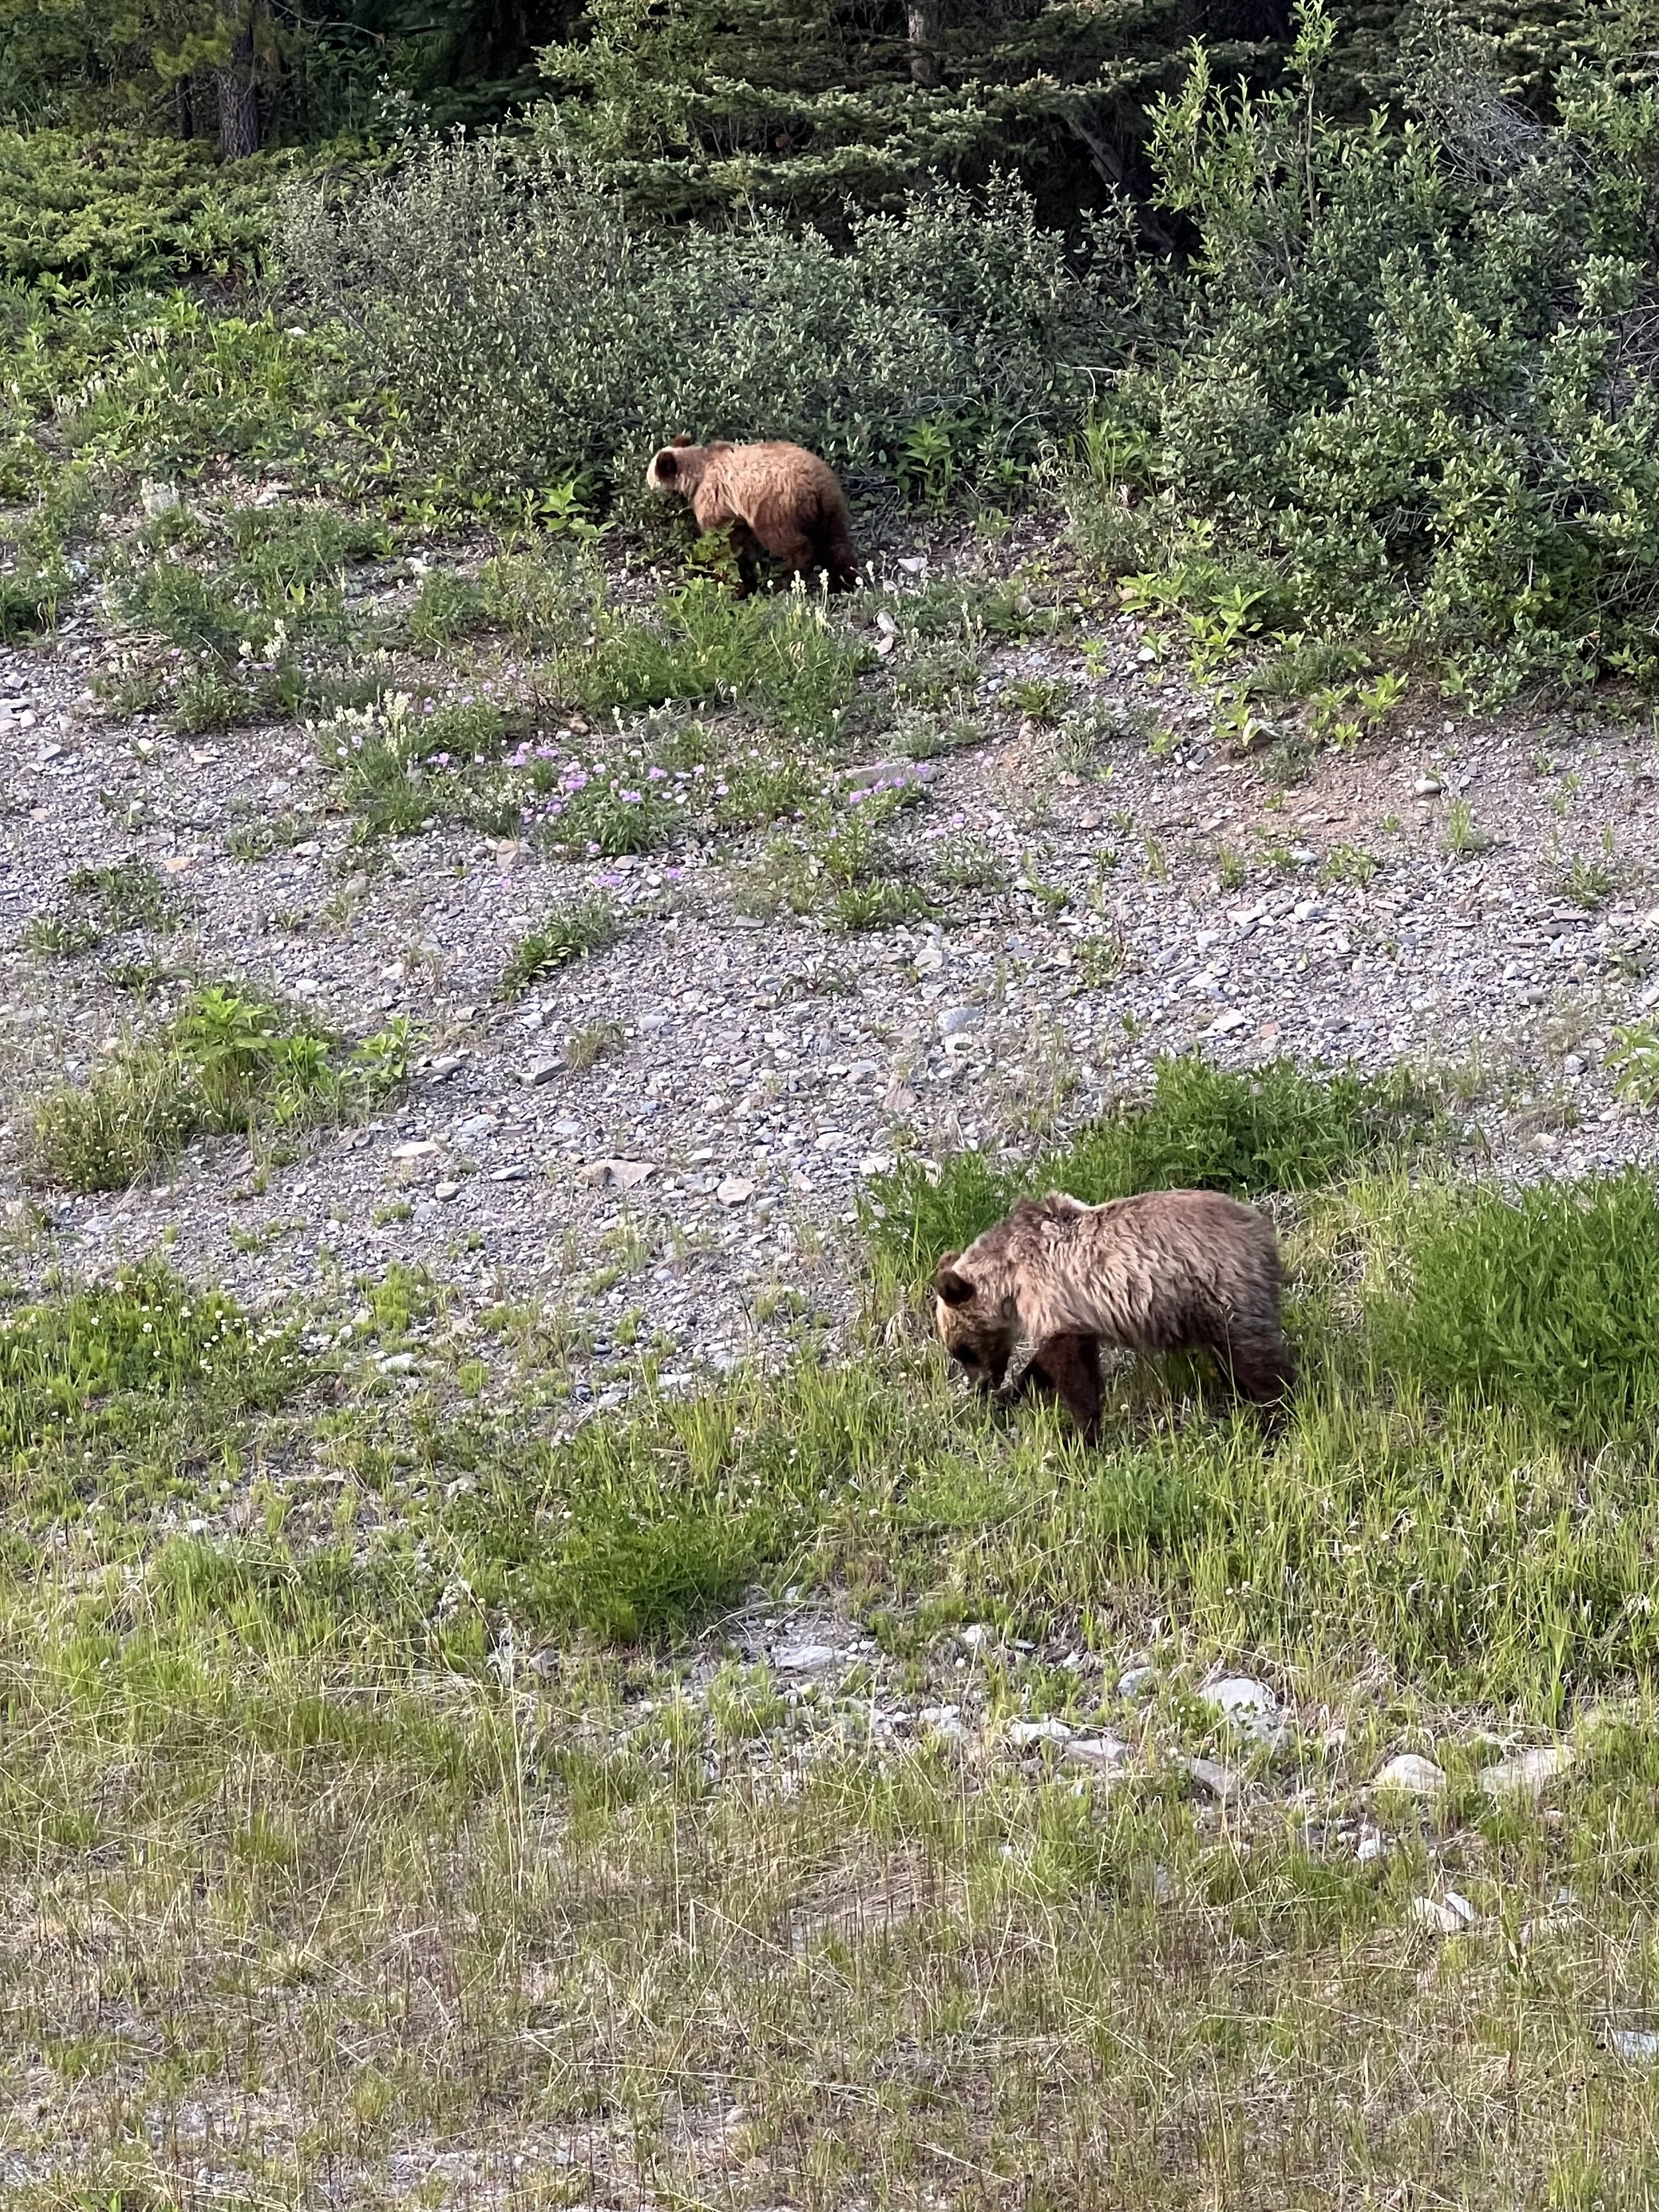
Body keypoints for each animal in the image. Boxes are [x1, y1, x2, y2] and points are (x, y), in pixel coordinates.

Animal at [645, 436, 859, 593]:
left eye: (651, 479)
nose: (649, 495)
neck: (698, 475)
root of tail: (814, 484)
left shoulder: (717, 501)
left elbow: (722, 543)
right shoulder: (735, 513)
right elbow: (739, 543)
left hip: (774, 507)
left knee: (789, 543)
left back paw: (787, 579)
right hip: (831, 504)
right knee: (836, 541)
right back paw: (844, 581)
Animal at [932, 1187, 1294, 1441]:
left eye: (963, 1350)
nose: (981, 1386)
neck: (1008, 1277)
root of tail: (1263, 1231)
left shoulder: (1049, 1294)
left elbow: (1072, 1367)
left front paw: (1083, 1435)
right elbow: (1050, 1362)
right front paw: (1012, 1393)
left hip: (1220, 1287)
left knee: (1254, 1357)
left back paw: (1274, 1415)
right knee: (1229, 1355)